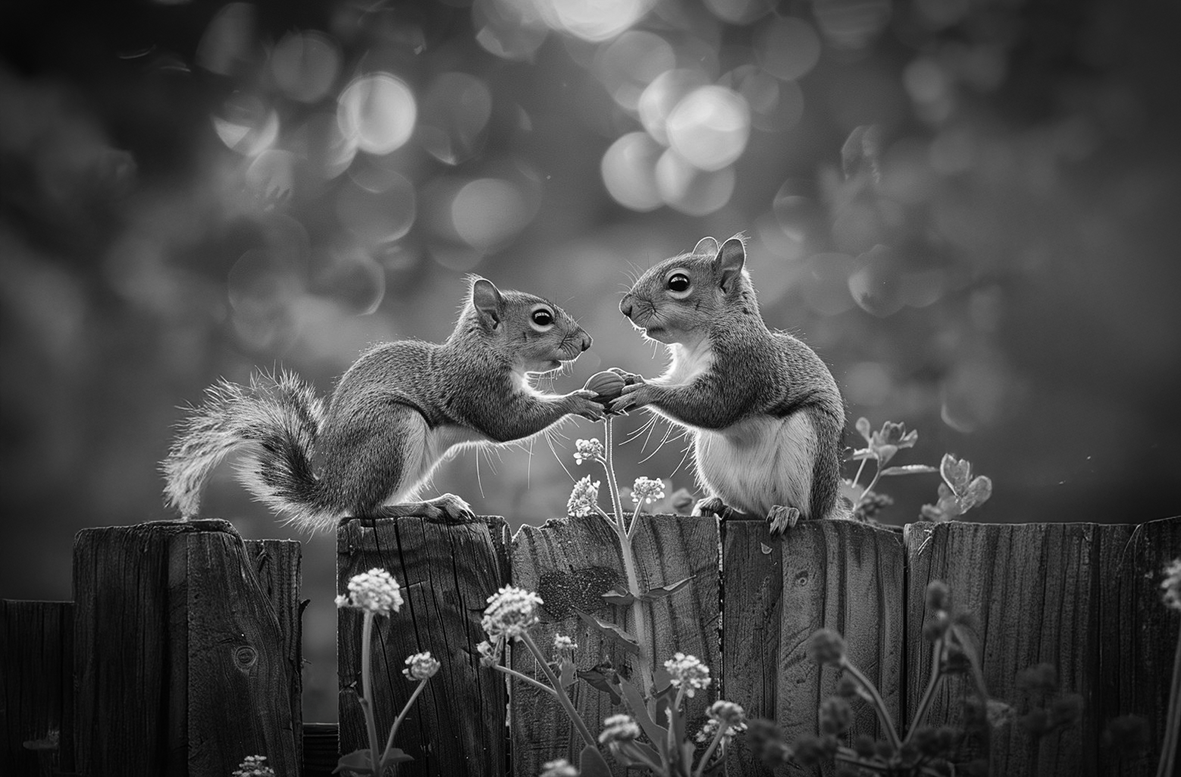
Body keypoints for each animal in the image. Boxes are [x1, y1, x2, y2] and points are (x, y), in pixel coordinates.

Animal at [162, 276, 605, 532]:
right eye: (542, 318)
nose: (587, 342)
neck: (482, 351)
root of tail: (335, 486)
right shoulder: (478, 388)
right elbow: (509, 423)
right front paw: (579, 400)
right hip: (393, 430)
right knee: (362, 511)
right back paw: (429, 508)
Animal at [610, 235, 847, 528]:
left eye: (678, 283)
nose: (625, 307)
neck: (694, 342)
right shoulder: (680, 373)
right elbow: (674, 385)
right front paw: (629, 377)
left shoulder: (743, 365)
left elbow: (714, 406)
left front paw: (643, 391)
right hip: (712, 455)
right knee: (753, 512)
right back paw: (721, 507)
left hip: (809, 439)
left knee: (807, 512)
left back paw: (787, 511)